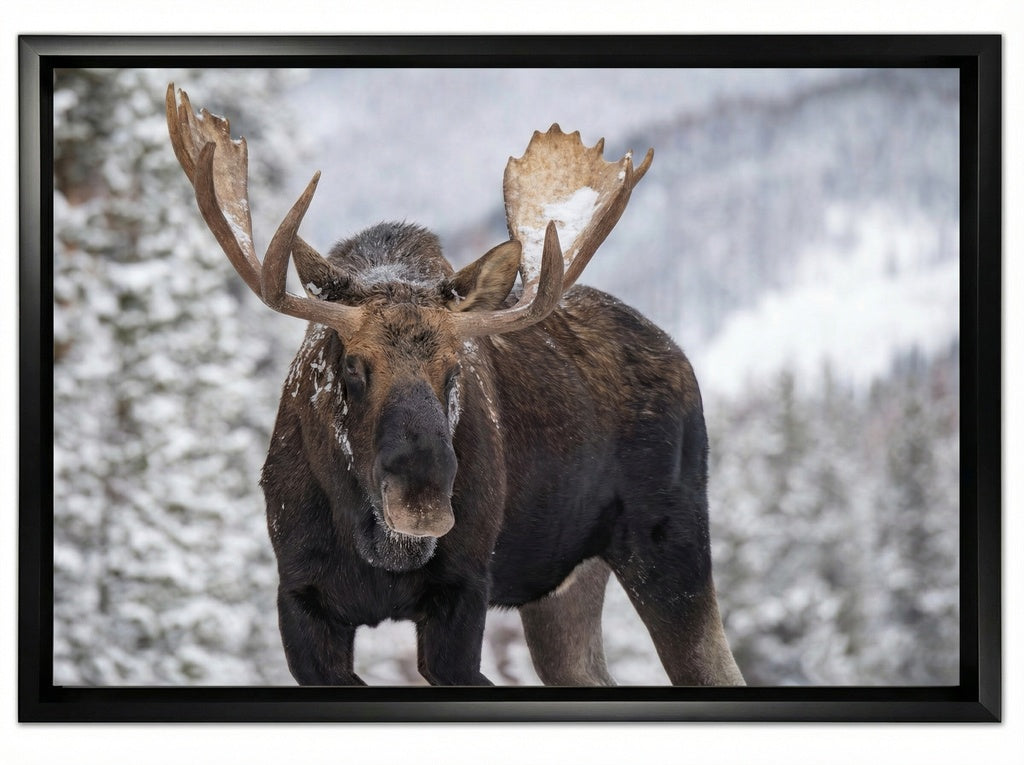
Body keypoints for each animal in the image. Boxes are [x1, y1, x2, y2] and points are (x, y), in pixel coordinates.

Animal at [166, 84, 744, 687]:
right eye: (352, 365)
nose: (422, 499)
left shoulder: (463, 593)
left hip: (670, 543)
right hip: (562, 586)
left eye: (456, 368)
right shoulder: (300, 599)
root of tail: (680, 357)